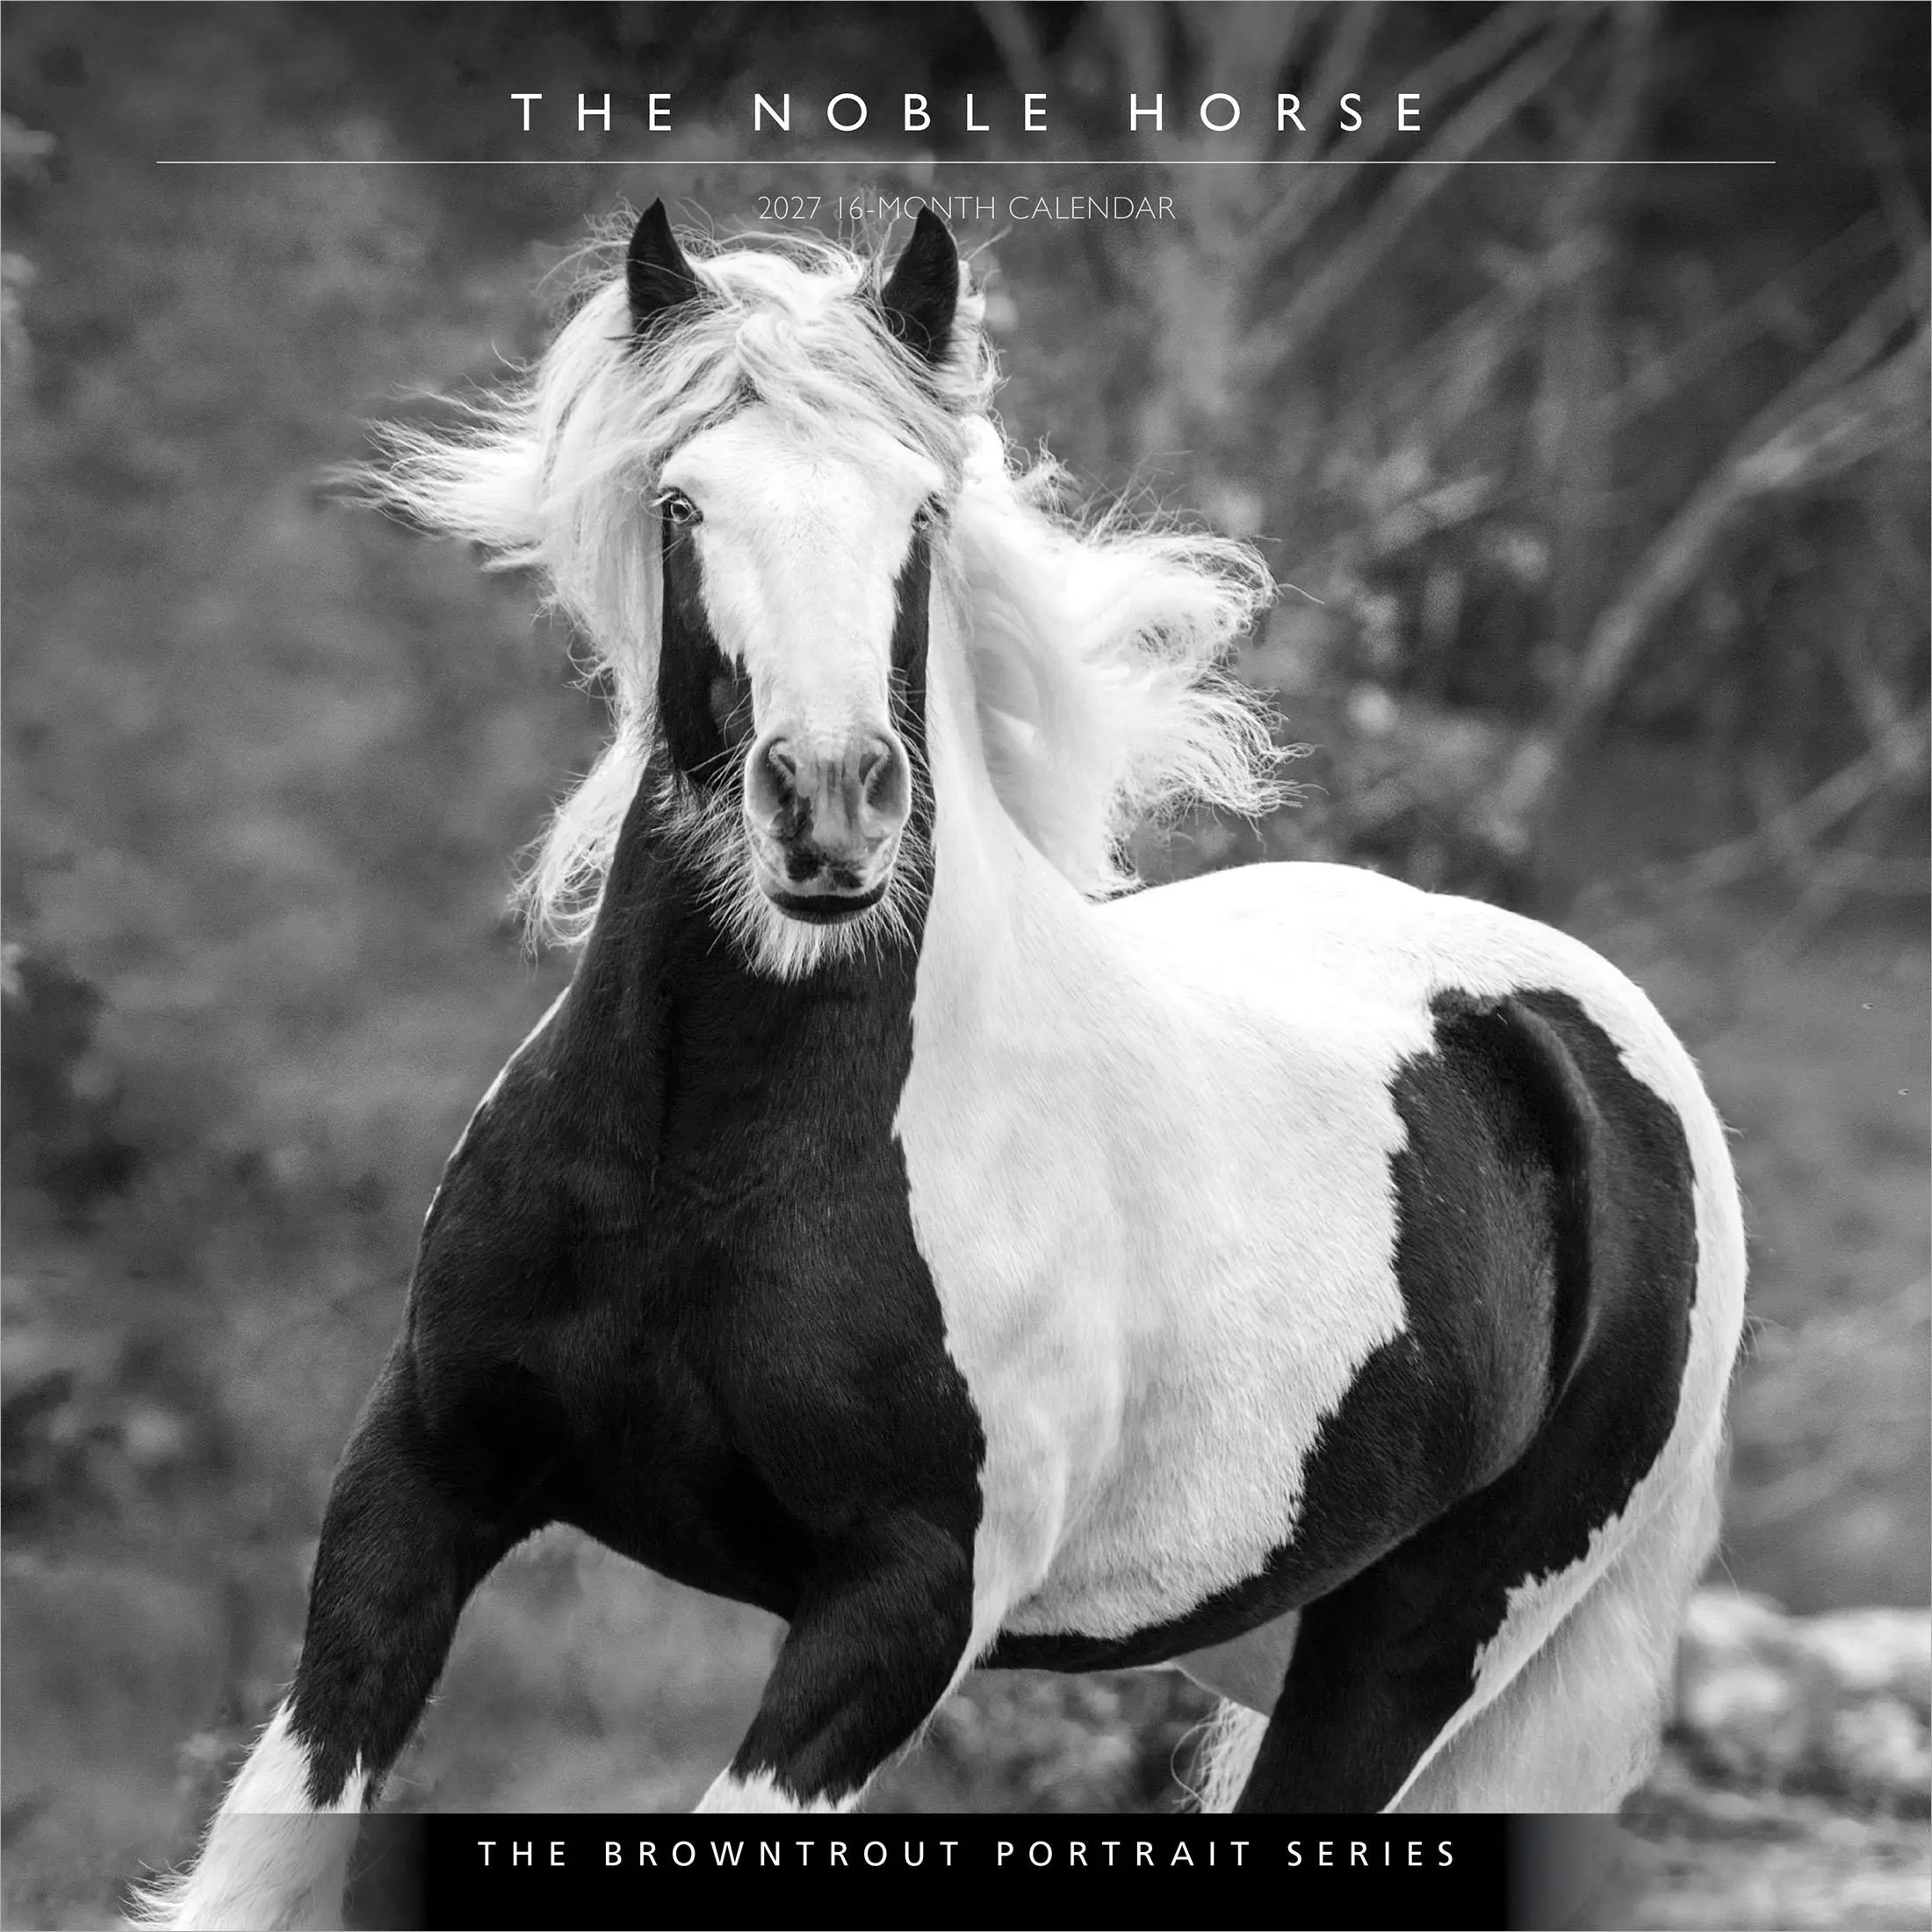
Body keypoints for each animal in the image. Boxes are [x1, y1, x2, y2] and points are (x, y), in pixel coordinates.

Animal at [133, 201, 1745, 1929]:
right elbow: (258, 1855)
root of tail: (1596, 1046)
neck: (709, 1155)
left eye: (919, 507)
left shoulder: (901, 1613)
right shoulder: (420, 1478)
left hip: (1426, 1641)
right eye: (684, 501)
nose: (831, 806)